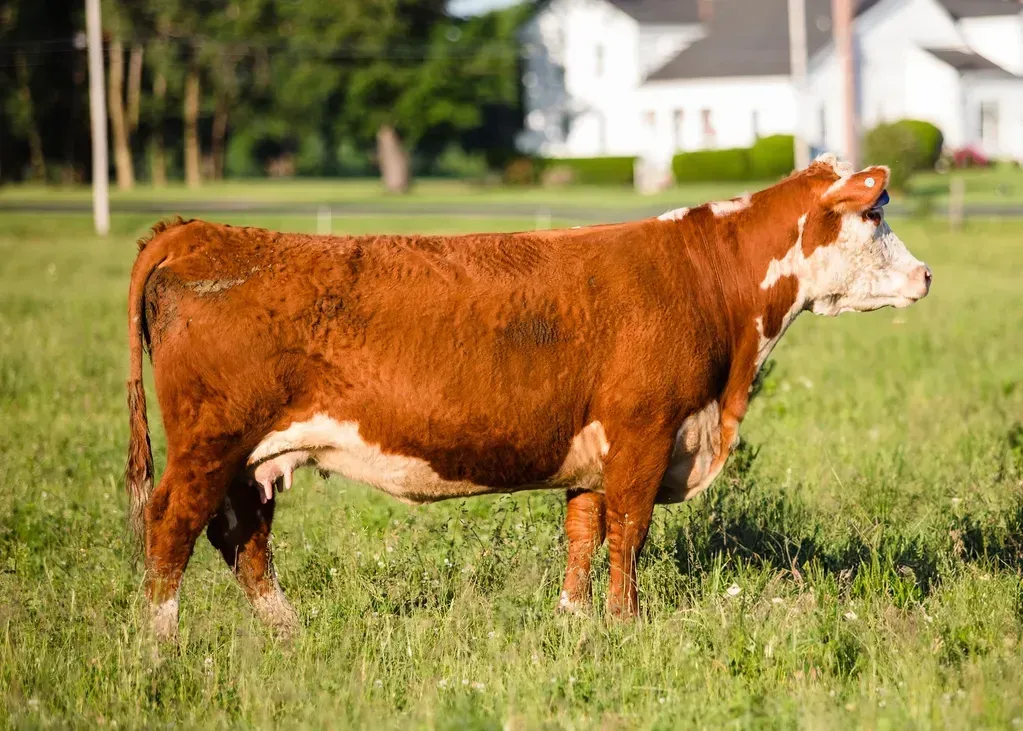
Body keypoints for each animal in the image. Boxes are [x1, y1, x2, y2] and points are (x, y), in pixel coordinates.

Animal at [125, 154, 931, 640]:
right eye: (873, 216)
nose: (925, 275)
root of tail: (199, 231)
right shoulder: (644, 433)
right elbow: (628, 534)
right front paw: (626, 625)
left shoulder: (593, 453)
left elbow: (583, 535)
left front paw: (574, 620)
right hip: (209, 443)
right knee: (172, 527)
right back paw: (162, 646)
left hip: (249, 458)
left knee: (242, 538)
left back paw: (288, 633)